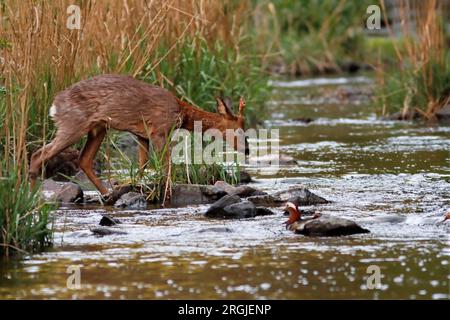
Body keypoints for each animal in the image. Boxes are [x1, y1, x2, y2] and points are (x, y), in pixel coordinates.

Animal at [29, 74, 248, 196]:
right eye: (239, 129)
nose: (247, 149)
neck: (181, 114)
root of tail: (54, 105)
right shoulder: (160, 129)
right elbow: (166, 164)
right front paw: (167, 191)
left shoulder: (142, 134)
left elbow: (143, 164)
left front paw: (134, 185)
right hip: (73, 123)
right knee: (40, 154)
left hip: (98, 128)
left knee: (84, 160)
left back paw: (108, 194)